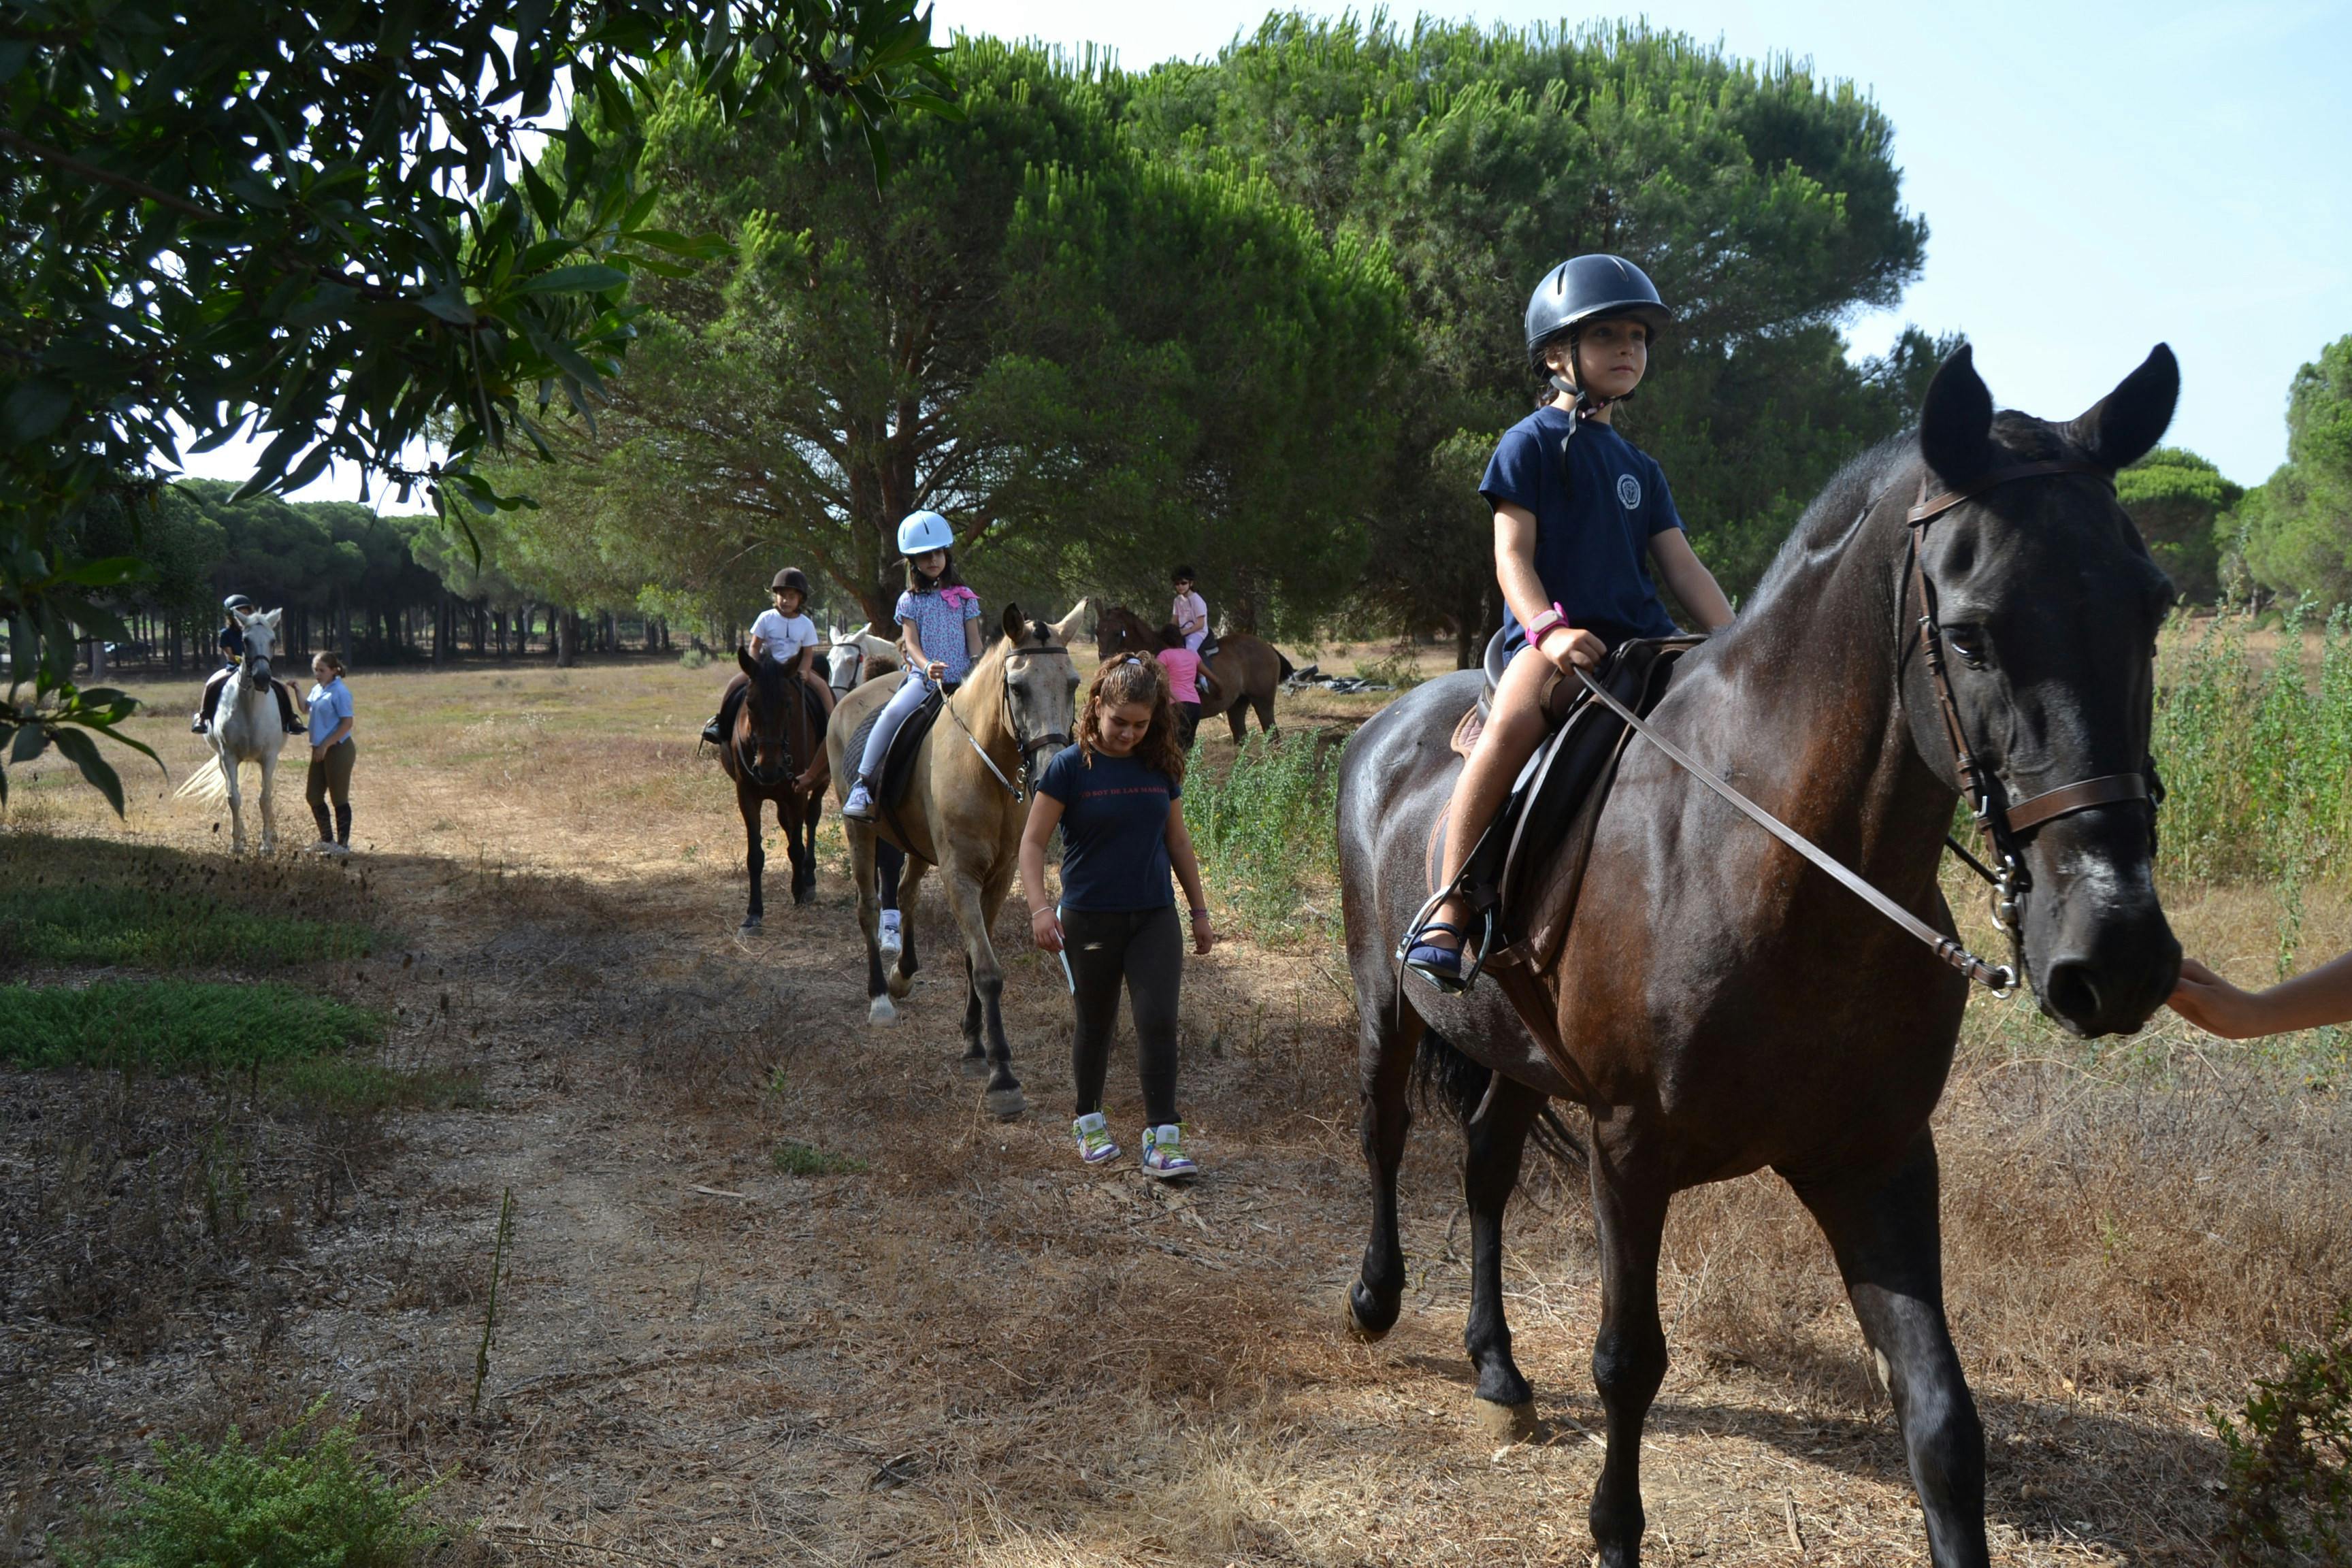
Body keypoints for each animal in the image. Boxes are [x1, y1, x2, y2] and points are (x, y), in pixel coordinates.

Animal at [175, 607, 293, 854]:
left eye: (273, 640)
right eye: (246, 640)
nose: (262, 678)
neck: (250, 708)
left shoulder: (269, 757)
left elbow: (265, 798)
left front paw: (267, 844)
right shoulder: (228, 757)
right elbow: (234, 797)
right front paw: (238, 843)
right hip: (222, 759)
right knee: (232, 789)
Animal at [717, 649, 826, 929]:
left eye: (788, 704)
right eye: (750, 704)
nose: (768, 769)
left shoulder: (798, 792)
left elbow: (797, 846)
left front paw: (799, 892)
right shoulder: (747, 796)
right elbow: (755, 855)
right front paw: (754, 913)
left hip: (820, 783)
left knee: (811, 819)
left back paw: (809, 879)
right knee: (787, 824)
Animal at [825, 601, 1087, 1118]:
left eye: (1073, 683)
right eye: (1017, 687)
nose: (1052, 772)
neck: (985, 766)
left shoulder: (999, 877)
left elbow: (972, 960)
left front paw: (973, 1045)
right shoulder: (960, 875)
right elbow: (987, 970)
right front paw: (1003, 1076)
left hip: (918, 847)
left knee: (904, 894)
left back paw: (903, 975)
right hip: (860, 832)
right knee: (869, 907)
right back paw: (880, 999)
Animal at [1095, 604, 1291, 741]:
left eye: (1117, 633)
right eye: (1097, 633)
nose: (1104, 660)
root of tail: (1268, 647)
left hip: (1263, 701)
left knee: (1273, 736)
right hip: (1237, 704)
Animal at [1336, 345, 2182, 1568]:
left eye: (2151, 606)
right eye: (1972, 633)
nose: (2115, 951)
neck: (1778, 858)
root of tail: (1382, 728)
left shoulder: (1876, 1157)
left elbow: (1942, 1417)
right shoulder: (1628, 1149)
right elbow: (1629, 1362)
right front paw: (1613, 1532)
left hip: (1515, 1050)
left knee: (1486, 1163)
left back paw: (1496, 1366)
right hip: (1384, 1004)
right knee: (1385, 1134)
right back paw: (1374, 1299)